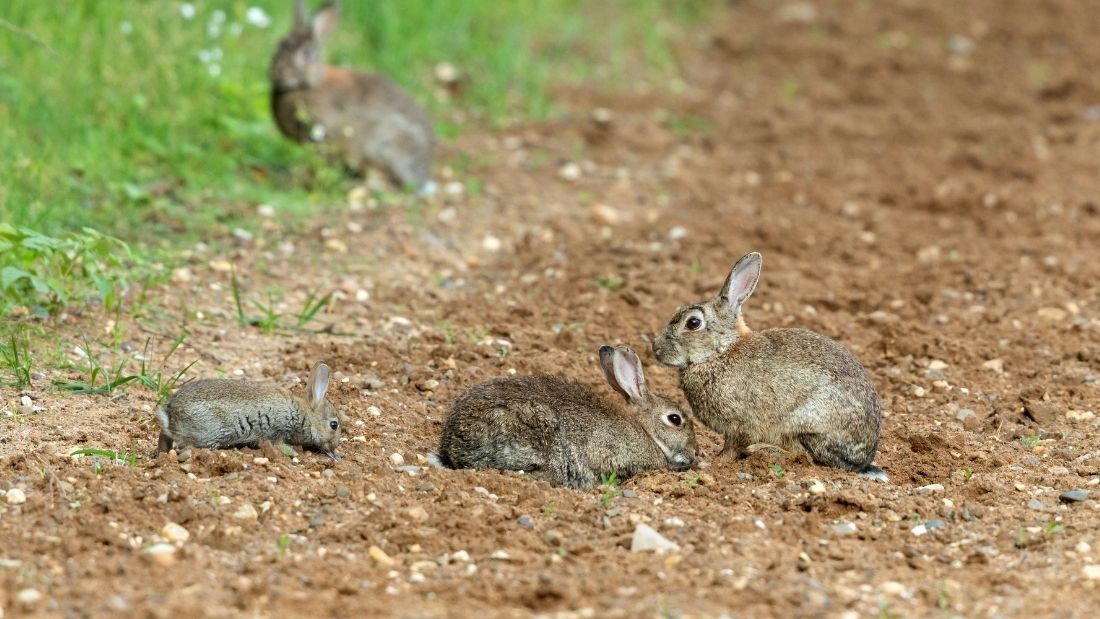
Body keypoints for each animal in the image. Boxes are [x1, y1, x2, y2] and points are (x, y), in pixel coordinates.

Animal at [151, 362, 343, 459]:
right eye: (334, 425)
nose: (334, 446)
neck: (304, 414)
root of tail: (169, 413)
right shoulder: (277, 430)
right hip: (211, 433)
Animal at [269, 0, 433, 192]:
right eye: (279, 46)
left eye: (306, 53)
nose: (277, 72)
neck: (310, 85)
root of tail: (422, 177)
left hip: (386, 149)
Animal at [651, 253, 884, 481]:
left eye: (693, 323)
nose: (655, 348)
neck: (721, 352)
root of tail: (862, 461)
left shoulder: (739, 425)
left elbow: (731, 448)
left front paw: (713, 462)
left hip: (802, 422)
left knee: (802, 455)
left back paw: (761, 450)